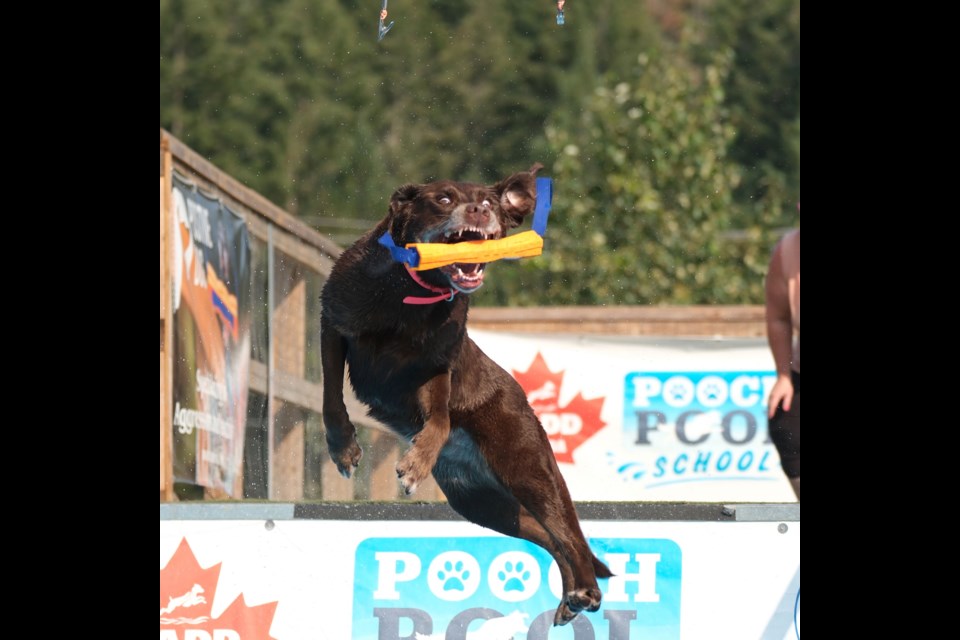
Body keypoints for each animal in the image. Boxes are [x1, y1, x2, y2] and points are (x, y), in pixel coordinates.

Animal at [318, 161, 612, 624]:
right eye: (443, 199)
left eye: (490, 202)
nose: (480, 209)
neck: (409, 289)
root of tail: (523, 399)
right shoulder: (334, 324)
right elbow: (332, 398)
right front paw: (343, 449)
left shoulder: (437, 366)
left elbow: (439, 419)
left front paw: (416, 463)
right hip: (483, 503)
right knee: (550, 537)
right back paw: (571, 597)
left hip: (529, 469)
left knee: (571, 534)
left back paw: (587, 589)